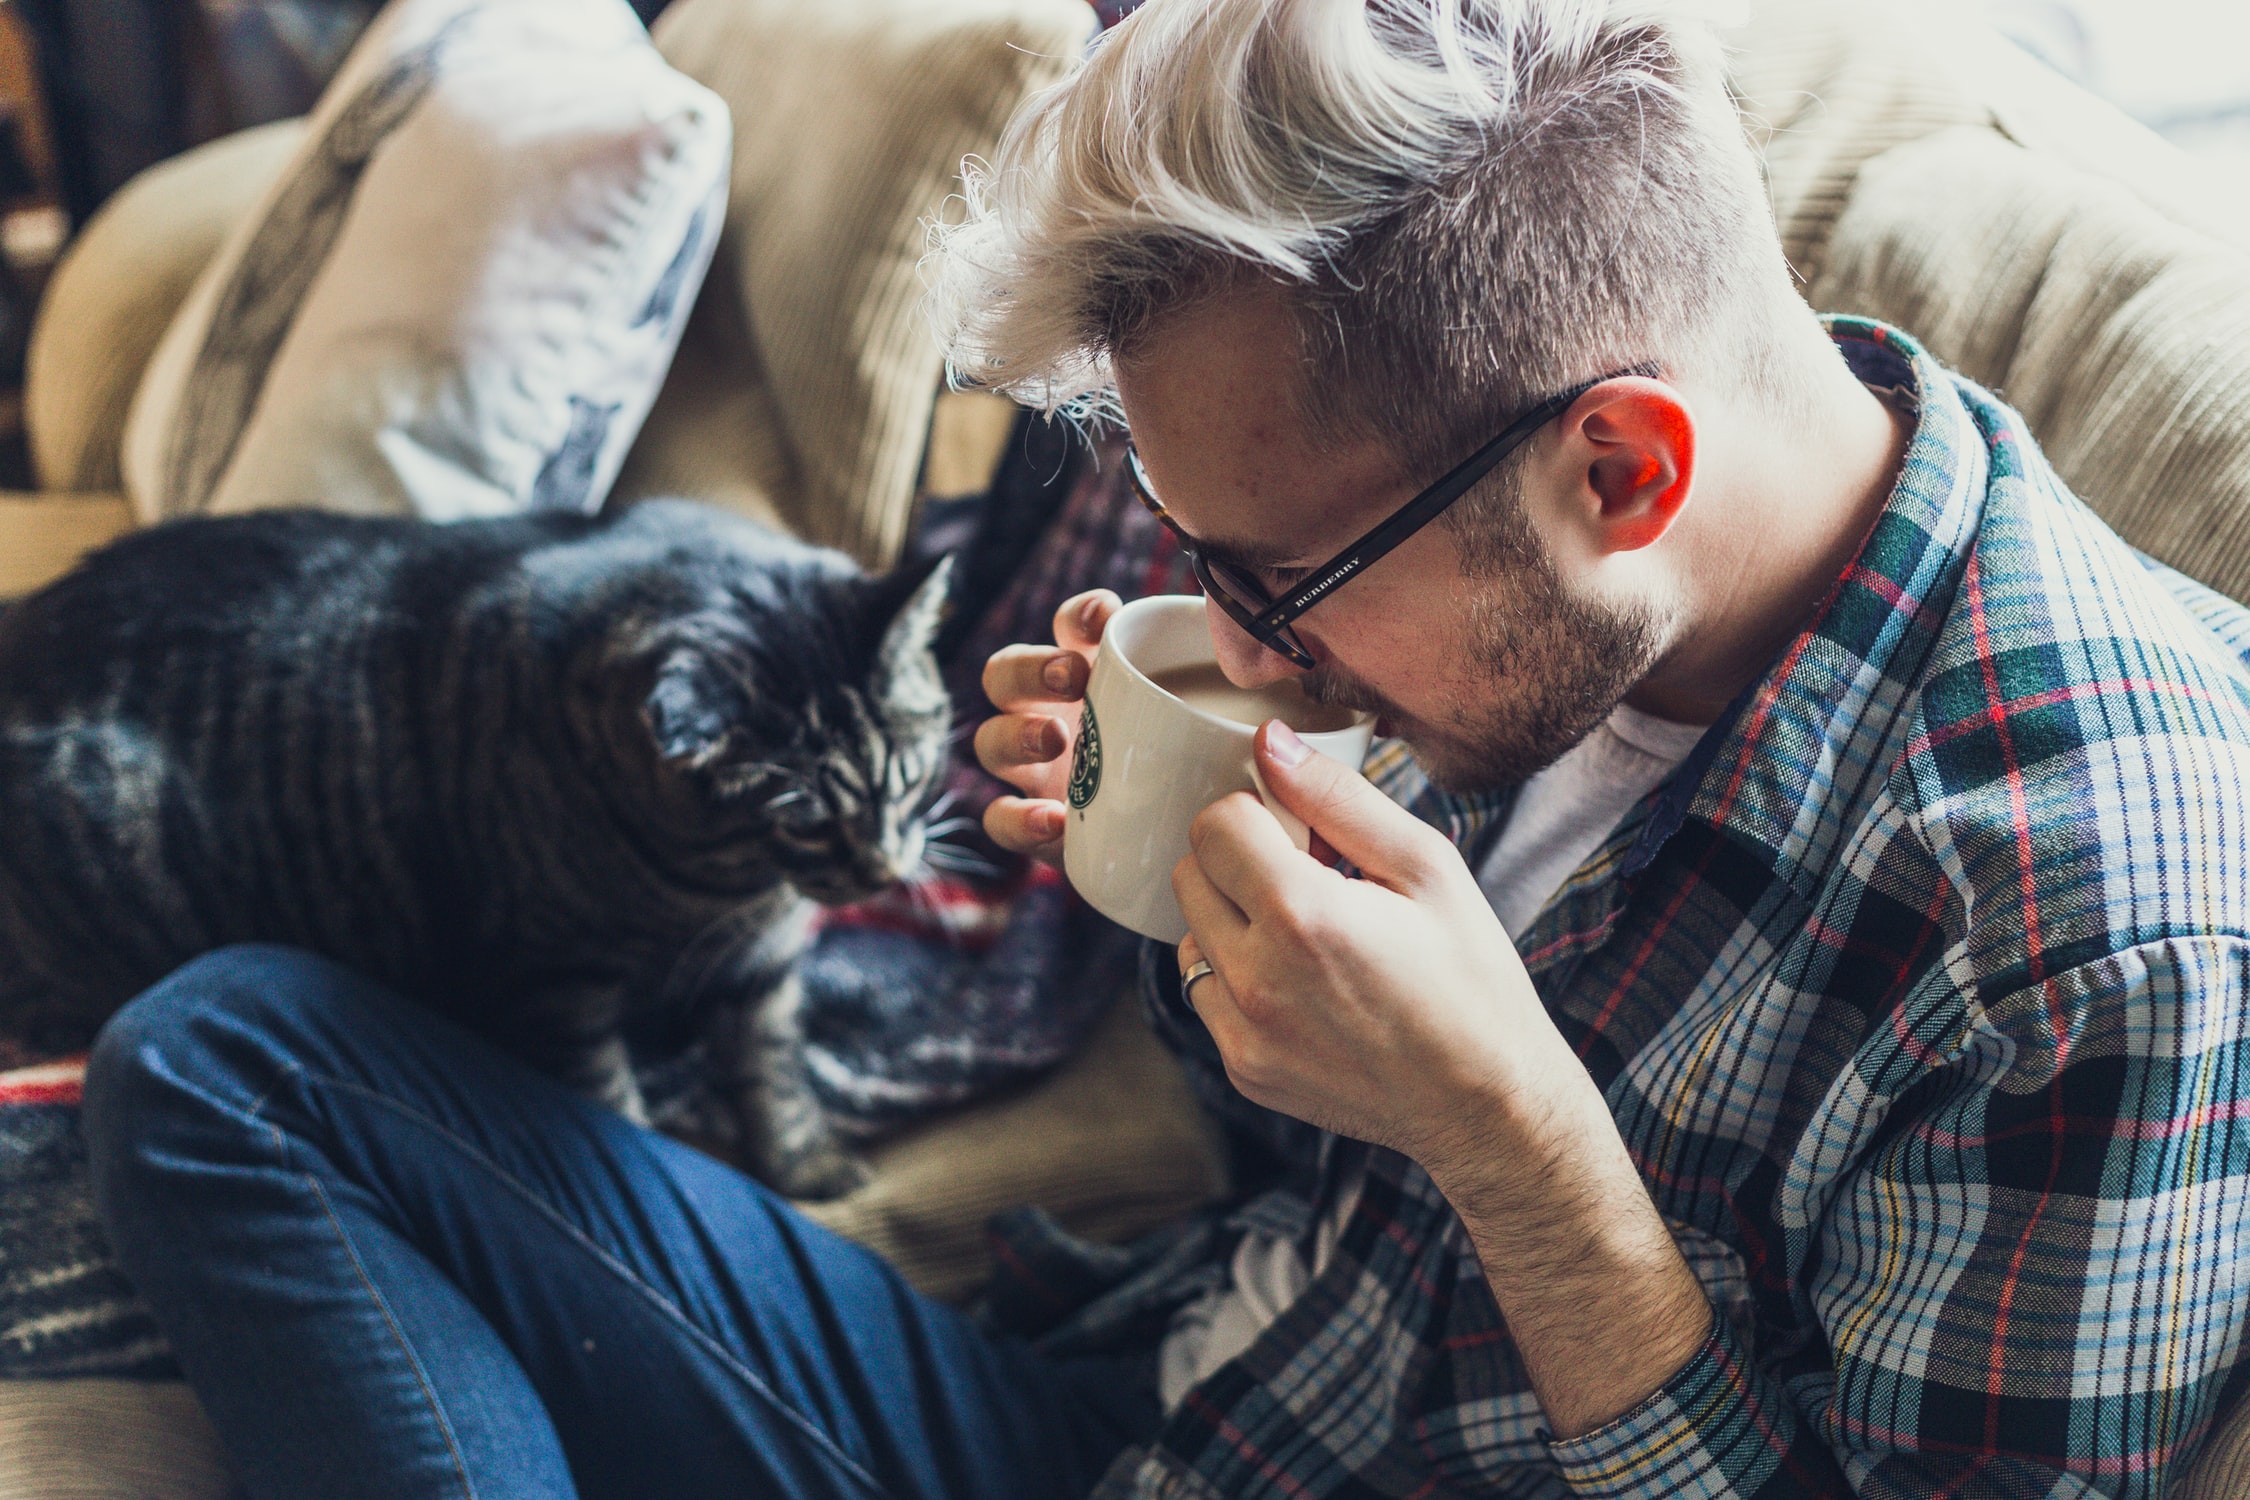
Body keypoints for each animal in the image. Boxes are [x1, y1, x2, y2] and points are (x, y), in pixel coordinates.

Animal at [0, 499, 949, 1205]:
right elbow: (613, 1104)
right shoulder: (556, 985)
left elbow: (775, 1072)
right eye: (803, 822)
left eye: (907, 778)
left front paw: (805, 1163)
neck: (726, 894)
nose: (882, 872)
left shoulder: (763, 969)